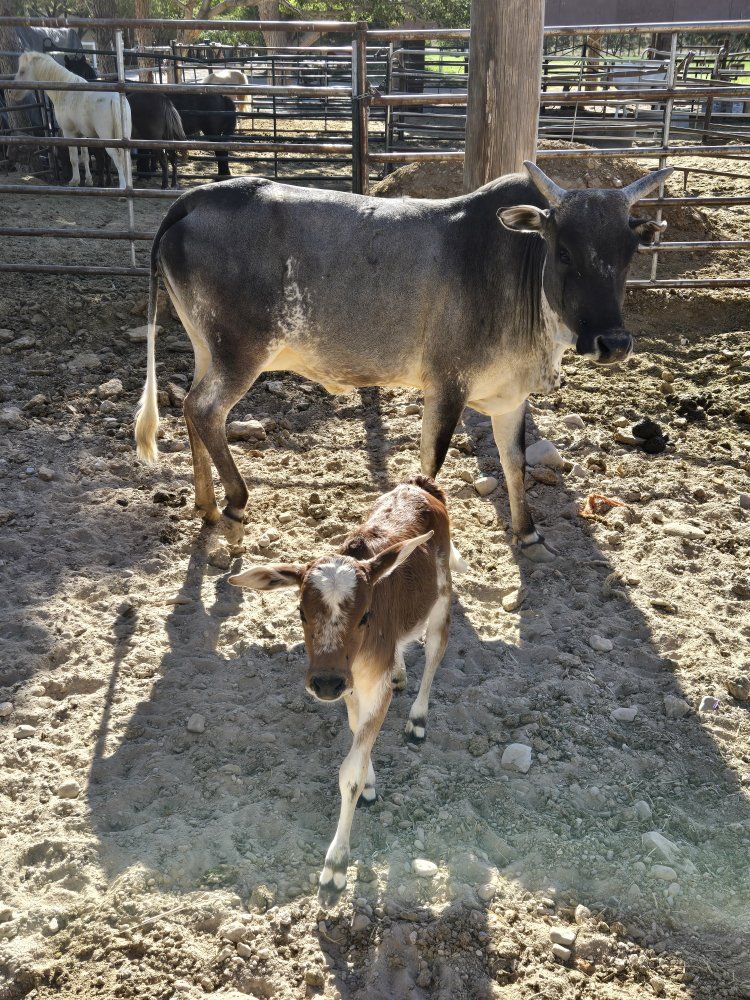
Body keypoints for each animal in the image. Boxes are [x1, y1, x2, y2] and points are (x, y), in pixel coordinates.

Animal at [134, 161, 672, 562]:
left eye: (629, 252)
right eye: (563, 252)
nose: (613, 343)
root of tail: (197, 197)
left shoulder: (509, 395)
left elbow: (514, 462)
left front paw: (528, 534)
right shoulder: (447, 385)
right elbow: (431, 466)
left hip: (208, 347)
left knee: (192, 409)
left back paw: (206, 506)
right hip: (241, 352)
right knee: (206, 410)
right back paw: (234, 509)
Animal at [229, 475, 461, 900]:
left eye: (366, 614)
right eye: (300, 612)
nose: (325, 681)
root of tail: (421, 485)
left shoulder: (371, 686)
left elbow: (349, 770)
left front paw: (335, 869)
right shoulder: (352, 686)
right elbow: (357, 734)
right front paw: (370, 781)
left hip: (442, 596)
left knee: (437, 648)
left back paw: (418, 719)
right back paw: (400, 672)